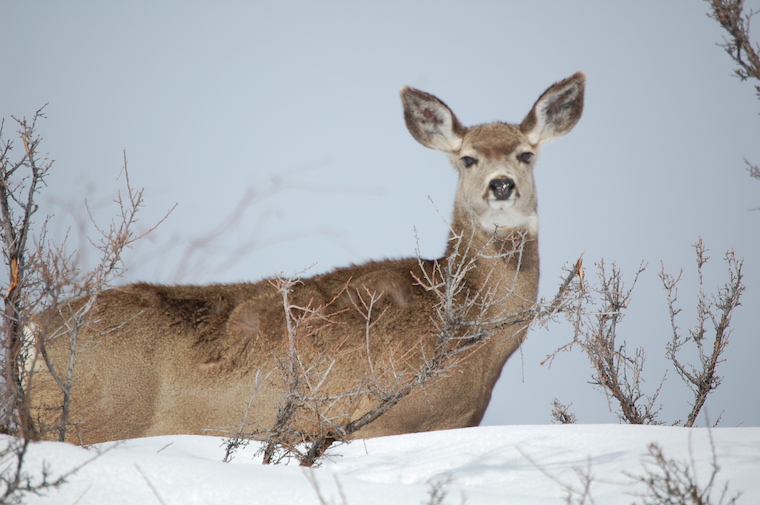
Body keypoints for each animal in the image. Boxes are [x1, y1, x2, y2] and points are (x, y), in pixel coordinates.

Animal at [28, 72, 585, 449]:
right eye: (468, 158)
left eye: (526, 154)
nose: (501, 185)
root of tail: (36, 326)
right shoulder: (377, 418)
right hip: (89, 415)